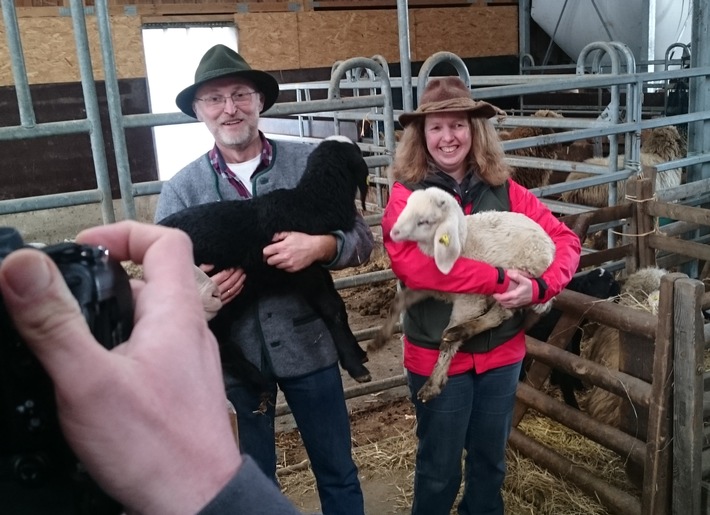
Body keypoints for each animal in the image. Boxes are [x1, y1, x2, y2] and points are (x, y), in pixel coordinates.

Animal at [376, 187, 560, 402]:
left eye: (425, 221)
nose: (393, 232)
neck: (462, 242)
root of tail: (550, 246)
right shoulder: (431, 283)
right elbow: (399, 301)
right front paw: (378, 340)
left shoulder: (469, 300)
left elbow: (447, 346)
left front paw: (434, 383)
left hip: (520, 280)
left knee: (498, 316)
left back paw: (459, 331)